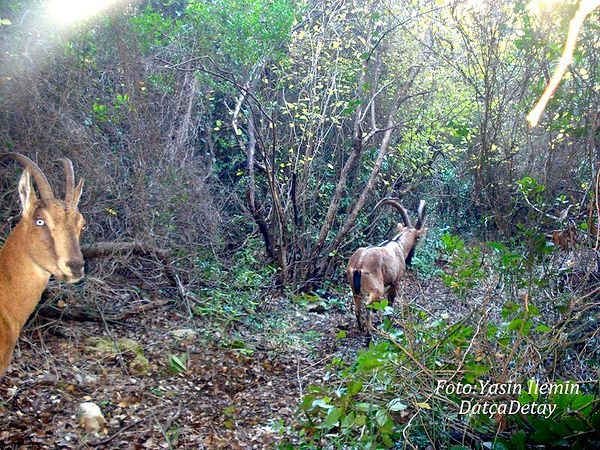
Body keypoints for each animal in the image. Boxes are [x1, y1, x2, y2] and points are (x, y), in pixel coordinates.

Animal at [346, 199, 426, 332]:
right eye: (417, 238)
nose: (410, 258)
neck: (399, 245)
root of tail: (359, 264)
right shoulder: (395, 282)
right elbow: (390, 304)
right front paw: (388, 324)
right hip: (377, 289)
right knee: (368, 306)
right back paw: (370, 331)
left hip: (354, 290)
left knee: (357, 308)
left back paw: (361, 328)